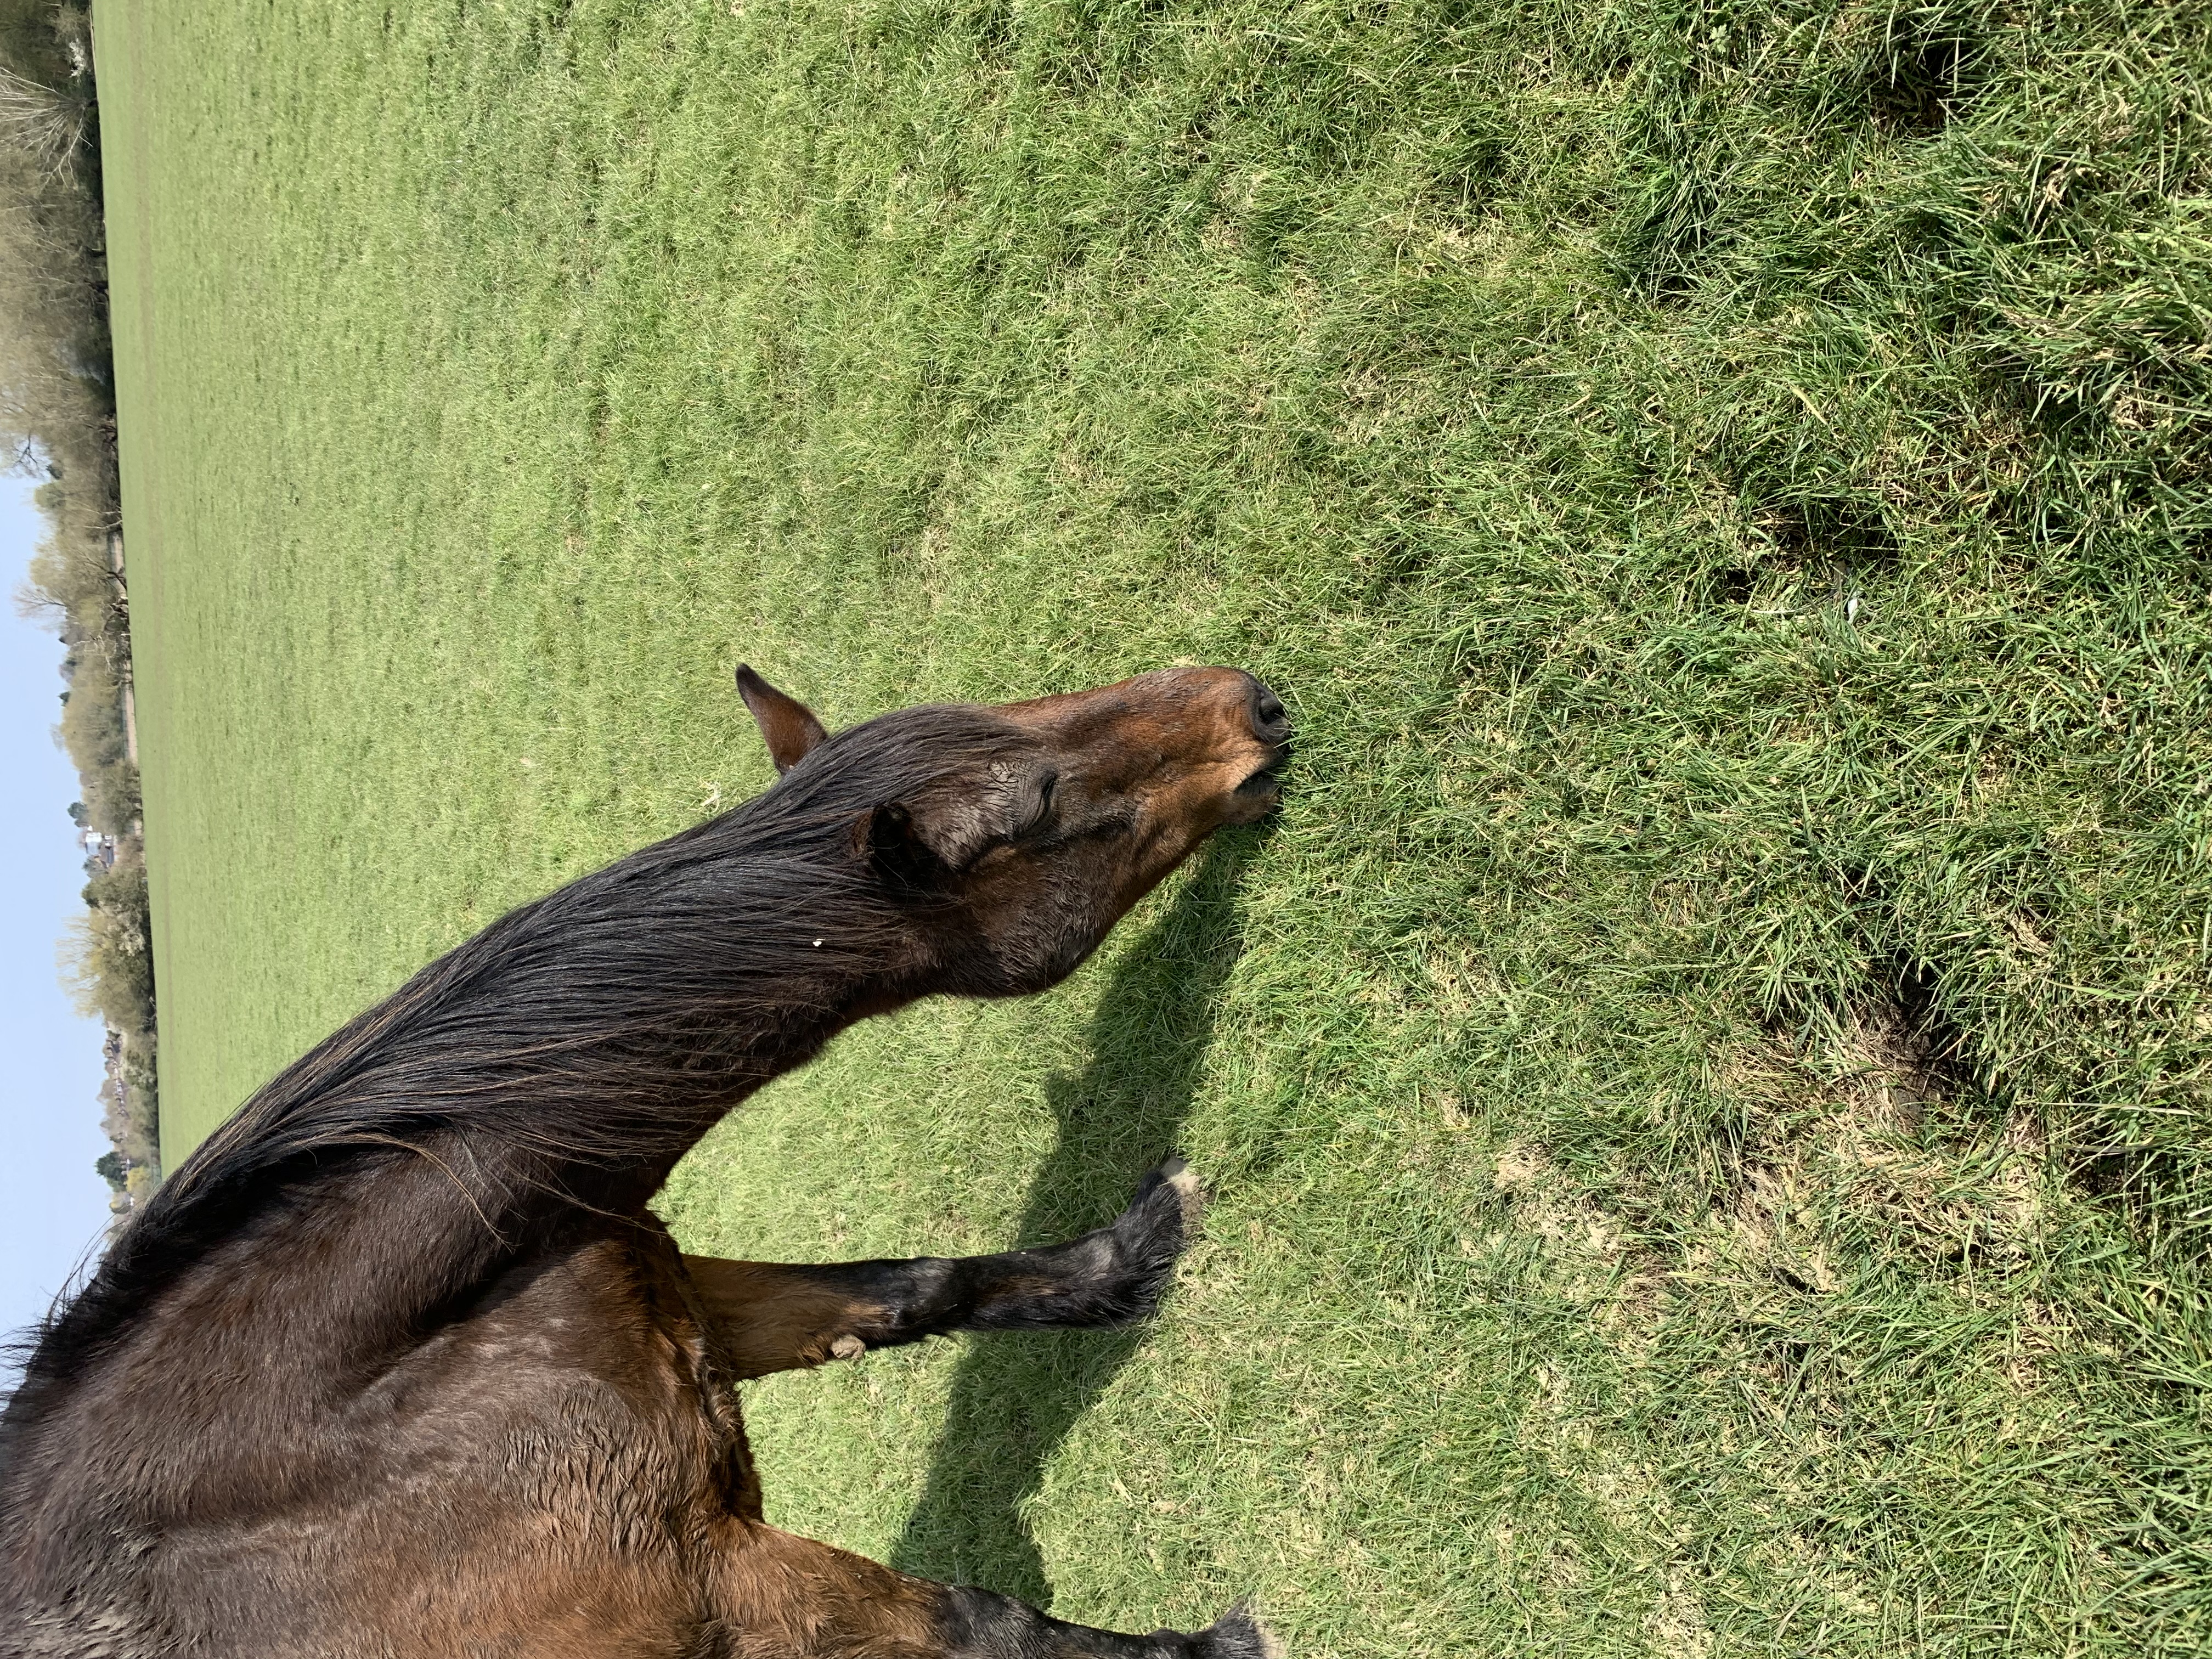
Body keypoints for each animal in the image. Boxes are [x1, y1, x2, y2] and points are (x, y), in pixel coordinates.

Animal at [0, 664, 1291, 1658]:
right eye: (1042, 805)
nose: (1253, 702)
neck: (330, 1410)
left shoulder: (669, 1297)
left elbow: (912, 1287)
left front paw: (1136, 1247)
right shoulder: (715, 1579)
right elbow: (980, 1620)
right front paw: (1213, 1645)